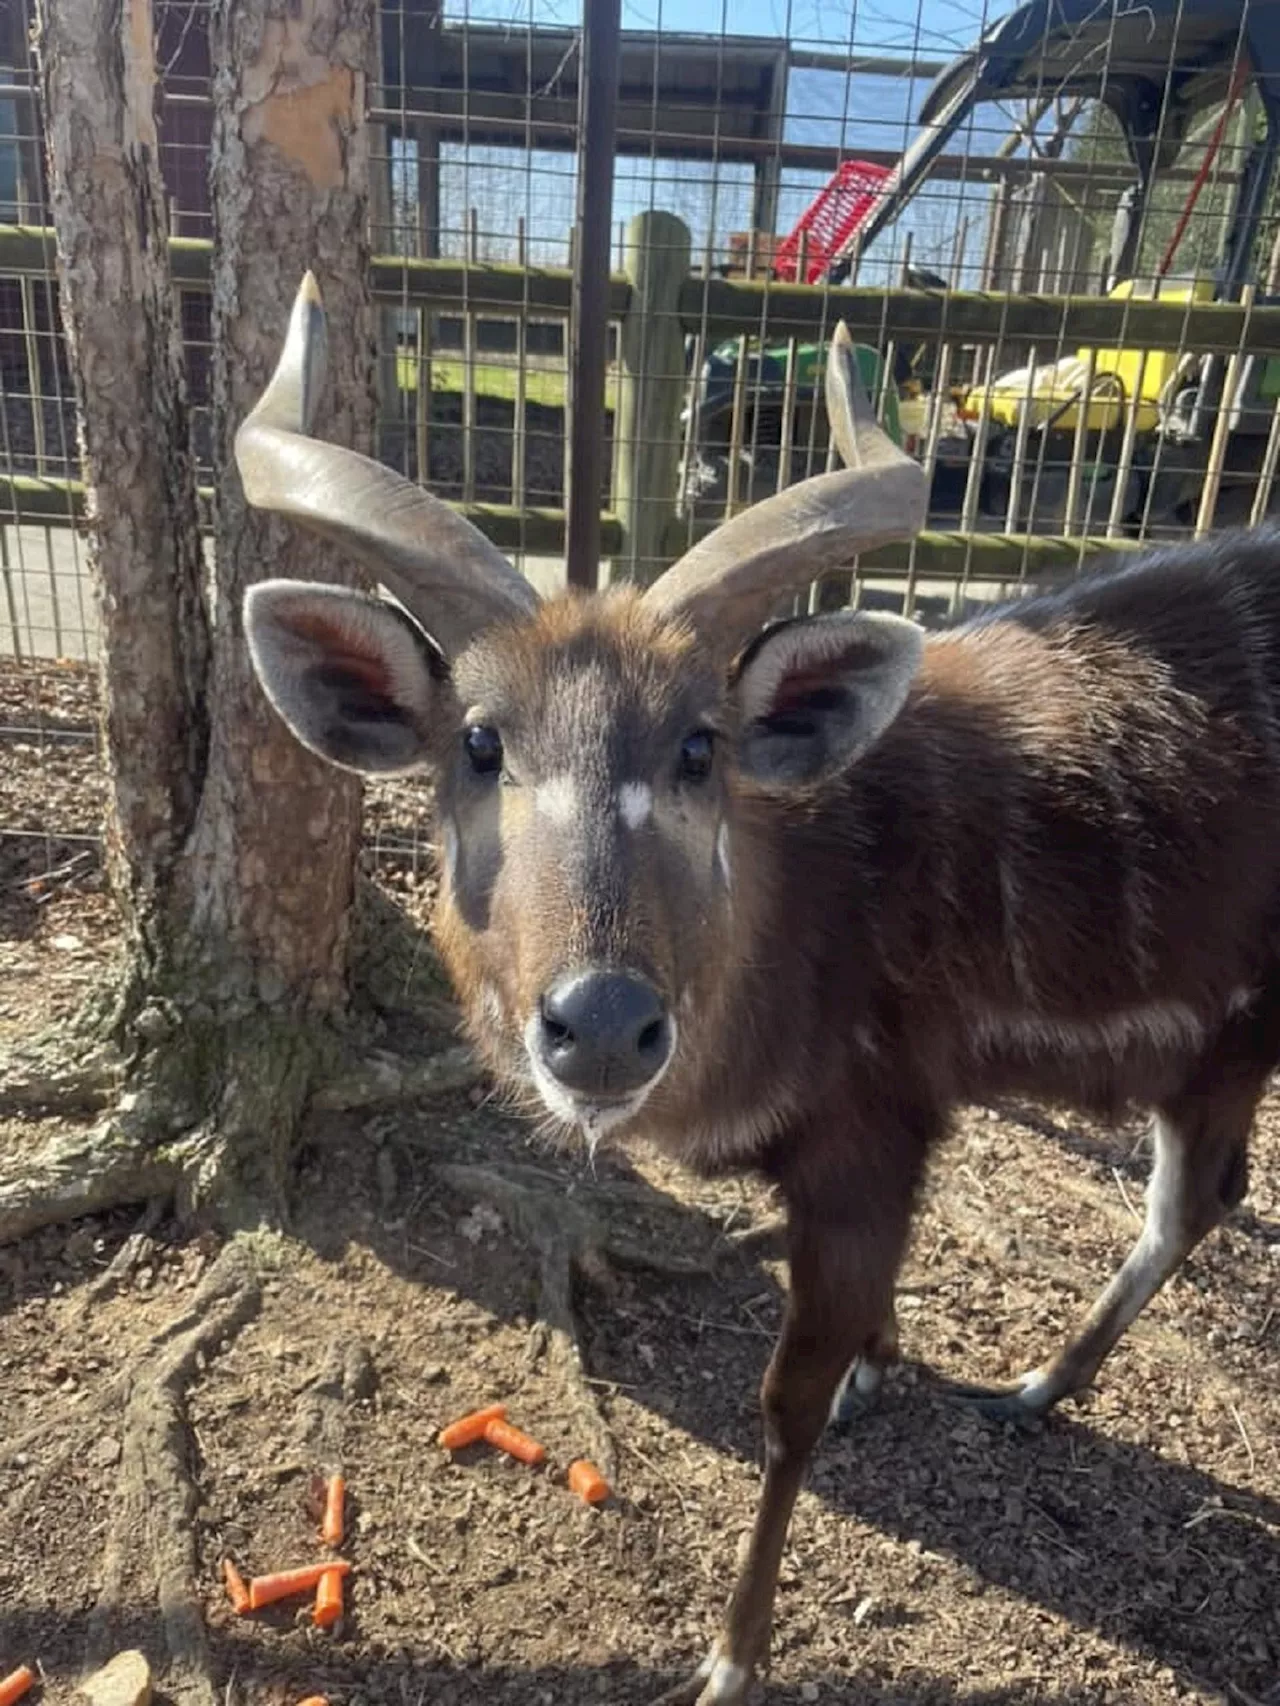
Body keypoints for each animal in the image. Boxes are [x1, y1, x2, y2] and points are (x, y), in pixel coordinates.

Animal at [238, 272, 1280, 1699]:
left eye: (698, 744)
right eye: (478, 741)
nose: (601, 1026)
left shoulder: (864, 1131)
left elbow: (784, 1406)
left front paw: (729, 1657)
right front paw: (880, 1372)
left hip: (1231, 1037)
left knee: (1197, 1196)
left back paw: (1027, 1384)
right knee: (1196, 1199)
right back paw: (1030, 1385)